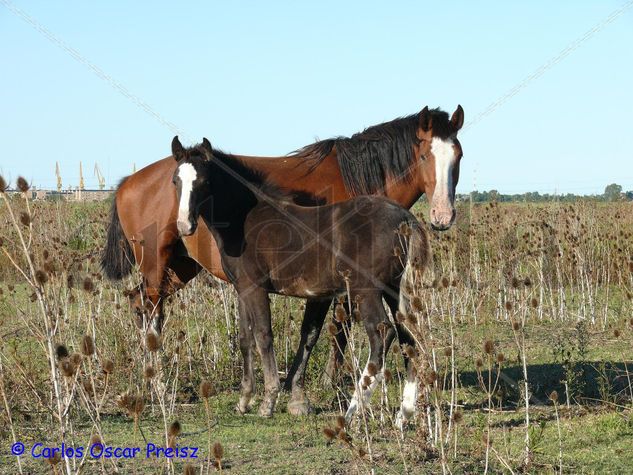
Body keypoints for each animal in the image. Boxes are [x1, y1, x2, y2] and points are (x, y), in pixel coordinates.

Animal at [100, 106, 464, 414]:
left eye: (458, 155)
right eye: (424, 154)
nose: (442, 216)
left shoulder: (277, 287)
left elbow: (293, 333)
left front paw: (282, 396)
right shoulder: (259, 287)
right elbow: (266, 335)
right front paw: (274, 396)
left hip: (181, 267)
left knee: (391, 332)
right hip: (158, 264)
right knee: (148, 309)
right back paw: (158, 386)